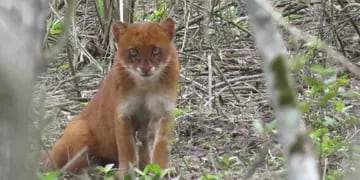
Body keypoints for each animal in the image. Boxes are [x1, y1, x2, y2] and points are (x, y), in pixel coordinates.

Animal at [42, 17, 180, 173]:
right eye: (133, 51)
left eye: (155, 50)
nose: (145, 69)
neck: (145, 85)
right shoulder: (124, 113)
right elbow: (127, 147)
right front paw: (127, 172)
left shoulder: (162, 112)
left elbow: (161, 145)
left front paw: (160, 170)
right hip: (79, 131)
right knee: (64, 167)